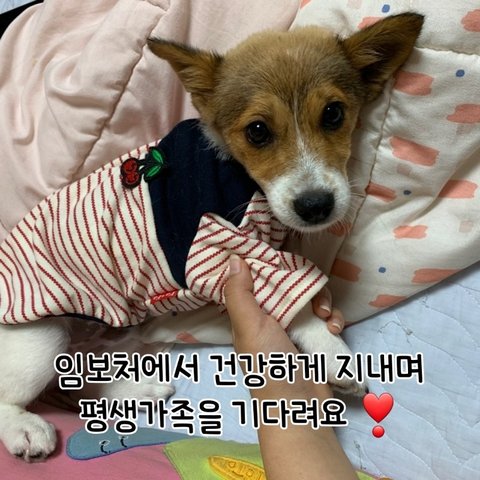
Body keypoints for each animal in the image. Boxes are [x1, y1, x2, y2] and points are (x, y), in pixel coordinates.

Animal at [0, 13, 423, 461]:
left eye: (333, 114)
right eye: (257, 131)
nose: (315, 206)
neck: (240, 177)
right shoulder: (217, 247)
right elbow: (298, 307)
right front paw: (332, 354)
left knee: (76, 381)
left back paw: (137, 390)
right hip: (40, 338)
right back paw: (26, 429)